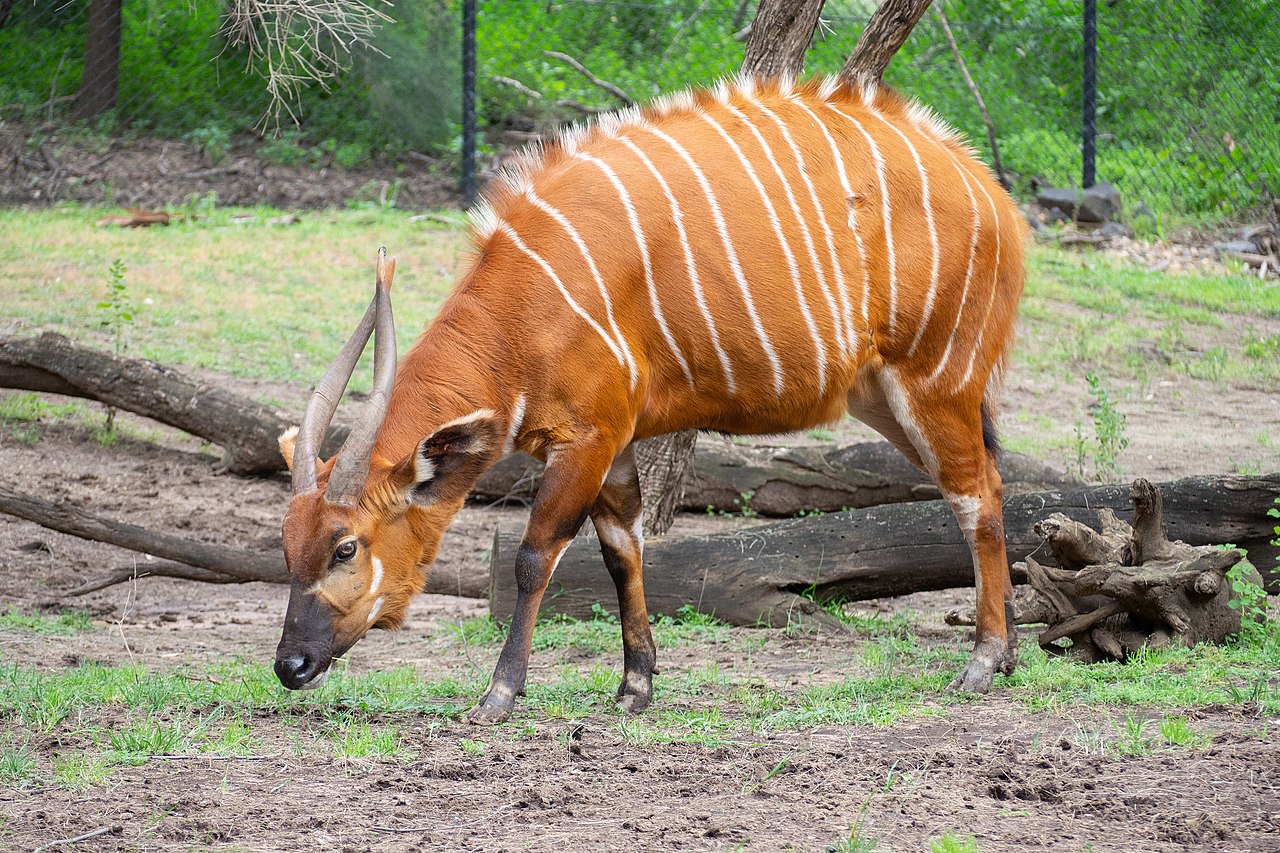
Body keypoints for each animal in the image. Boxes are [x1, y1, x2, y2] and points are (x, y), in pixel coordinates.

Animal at [275, 76, 1024, 722]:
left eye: (345, 547)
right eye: (286, 544)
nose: (290, 665)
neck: (523, 311)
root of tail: (995, 196)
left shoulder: (585, 439)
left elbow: (534, 556)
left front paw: (499, 694)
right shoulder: (615, 442)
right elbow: (621, 549)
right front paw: (636, 684)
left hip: (935, 383)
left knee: (975, 495)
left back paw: (983, 661)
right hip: (883, 400)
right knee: (989, 481)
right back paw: (1011, 652)